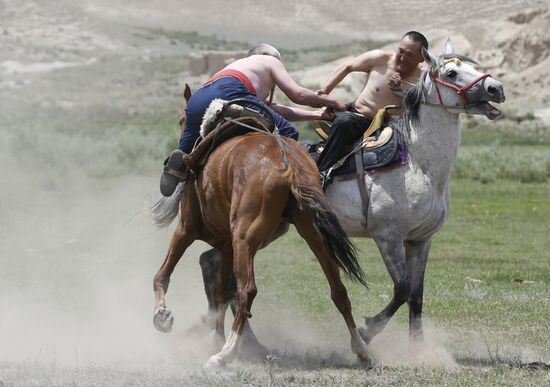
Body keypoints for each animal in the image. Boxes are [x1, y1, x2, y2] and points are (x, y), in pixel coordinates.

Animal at [151, 96, 370, 366]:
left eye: (183, 119)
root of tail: (290, 165)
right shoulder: (226, 246)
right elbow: (220, 295)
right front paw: (213, 336)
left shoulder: (186, 230)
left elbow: (163, 275)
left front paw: (162, 315)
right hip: (312, 233)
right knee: (338, 289)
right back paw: (361, 349)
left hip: (244, 238)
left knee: (247, 291)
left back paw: (225, 354)